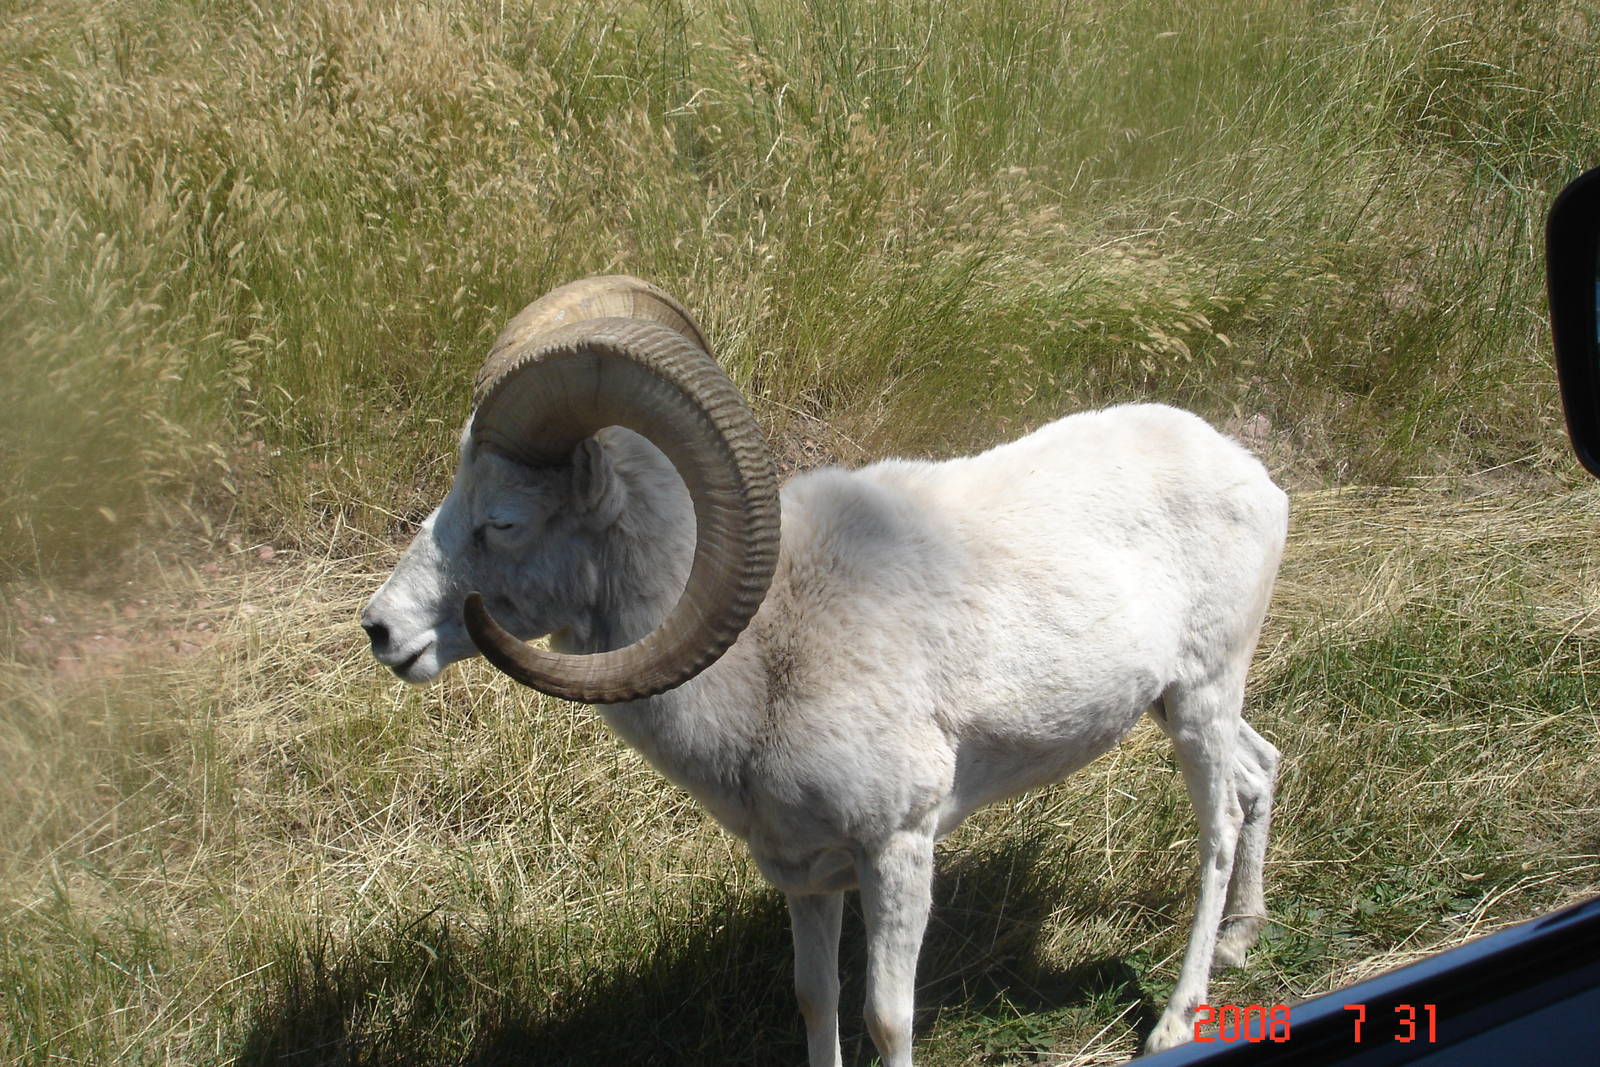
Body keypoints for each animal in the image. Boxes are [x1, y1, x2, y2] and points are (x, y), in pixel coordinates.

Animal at [361, 275, 1288, 1064]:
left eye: (503, 520)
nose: (381, 629)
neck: (770, 658)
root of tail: (1252, 474)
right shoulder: (805, 876)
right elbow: (815, 1001)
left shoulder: (897, 851)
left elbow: (885, 1016)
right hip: (1179, 702)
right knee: (1260, 770)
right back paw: (1244, 938)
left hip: (1202, 697)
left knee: (1217, 827)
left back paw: (1176, 1019)